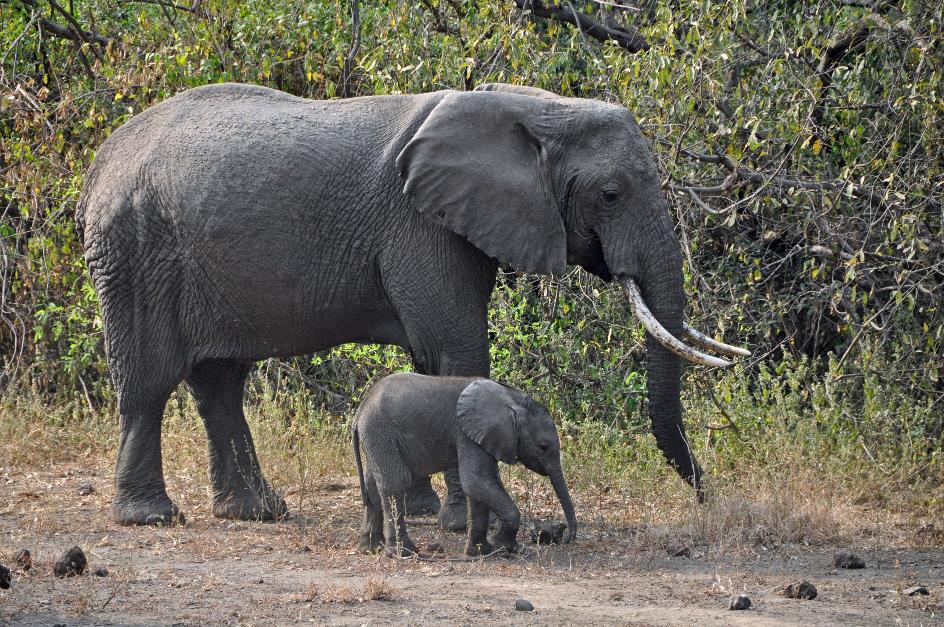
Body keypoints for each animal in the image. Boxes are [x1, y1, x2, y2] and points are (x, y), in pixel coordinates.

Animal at [77, 82, 748, 524]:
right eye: (610, 194)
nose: (704, 497)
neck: (529, 108)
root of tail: (98, 166)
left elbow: (431, 360)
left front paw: (422, 513)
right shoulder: (423, 225)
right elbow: (457, 352)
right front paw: (456, 522)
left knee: (219, 383)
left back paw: (257, 512)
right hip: (134, 250)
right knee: (149, 382)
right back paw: (150, 517)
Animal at [354, 370, 576, 556]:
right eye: (543, 447)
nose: (565, 538)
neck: (511, 399)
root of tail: (360, 410)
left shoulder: (482, 437)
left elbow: (481, 486)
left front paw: (481, 552)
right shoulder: (467, 433)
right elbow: (476, 482)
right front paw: (506, 547)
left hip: (375, 436)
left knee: (372, 484)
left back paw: (371, 549)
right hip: (381, 431)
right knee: (395, 483)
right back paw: (405, 553)